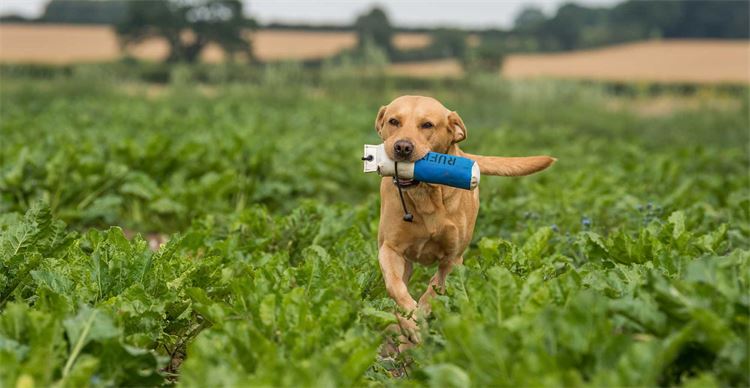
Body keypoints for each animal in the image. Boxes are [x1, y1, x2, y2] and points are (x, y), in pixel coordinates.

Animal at [378, 95, 556, 350]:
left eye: (427, 125)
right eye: (394, 121)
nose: (402, 147)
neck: (427, 197)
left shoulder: (453, 259)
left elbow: (433, 292)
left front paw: (421, 316)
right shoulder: (390, 249)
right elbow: (396, 288)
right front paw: (411, 323)